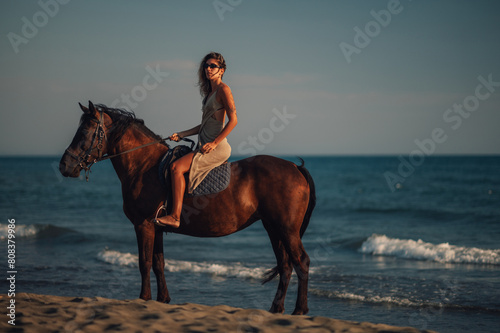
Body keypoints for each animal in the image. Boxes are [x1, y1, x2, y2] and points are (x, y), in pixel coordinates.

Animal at [59, 101, 316, 314]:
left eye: (85, 132)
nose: (64, 166)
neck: (144, 166)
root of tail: (295, 167)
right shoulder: (156, 228)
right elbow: (159, 263)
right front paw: (162, 299)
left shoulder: (143, 225)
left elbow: (144, 263)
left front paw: (143, 298)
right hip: (274, 228)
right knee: (286, 265)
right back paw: (276, 308)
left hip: (287, 230)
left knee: (301, 262)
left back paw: (299, 310)